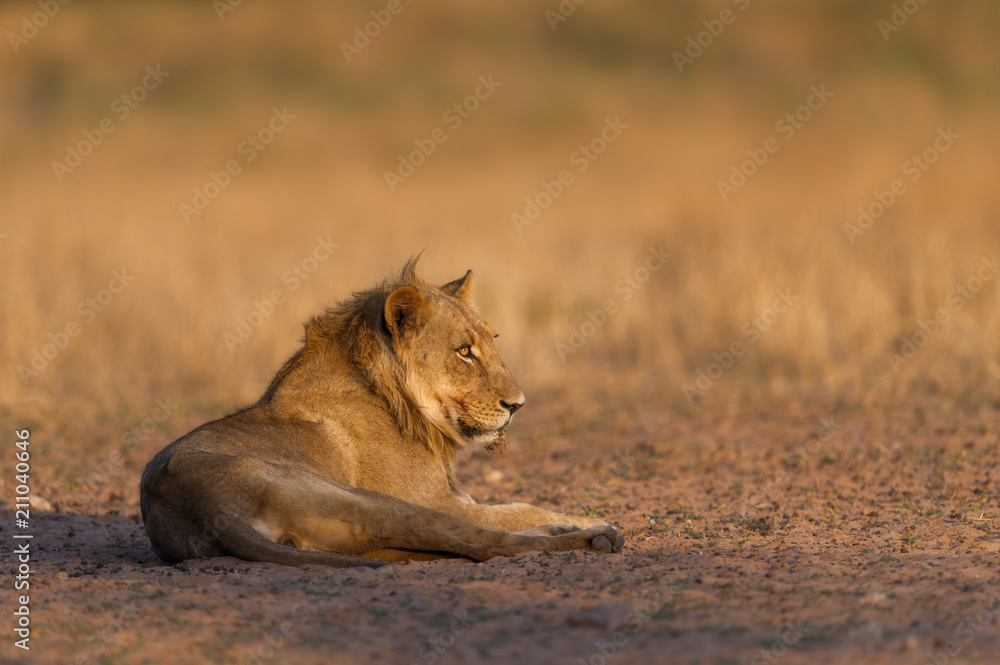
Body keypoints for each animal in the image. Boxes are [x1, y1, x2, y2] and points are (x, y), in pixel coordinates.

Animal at [141, 256, 624, 568]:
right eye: (464, 352)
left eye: (493, 341)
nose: (518, 405)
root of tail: (203, 509)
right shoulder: (434, 498)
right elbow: (520, 509)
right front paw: (583, 518)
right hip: (372, 501)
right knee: (486, 544)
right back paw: (596, 537)